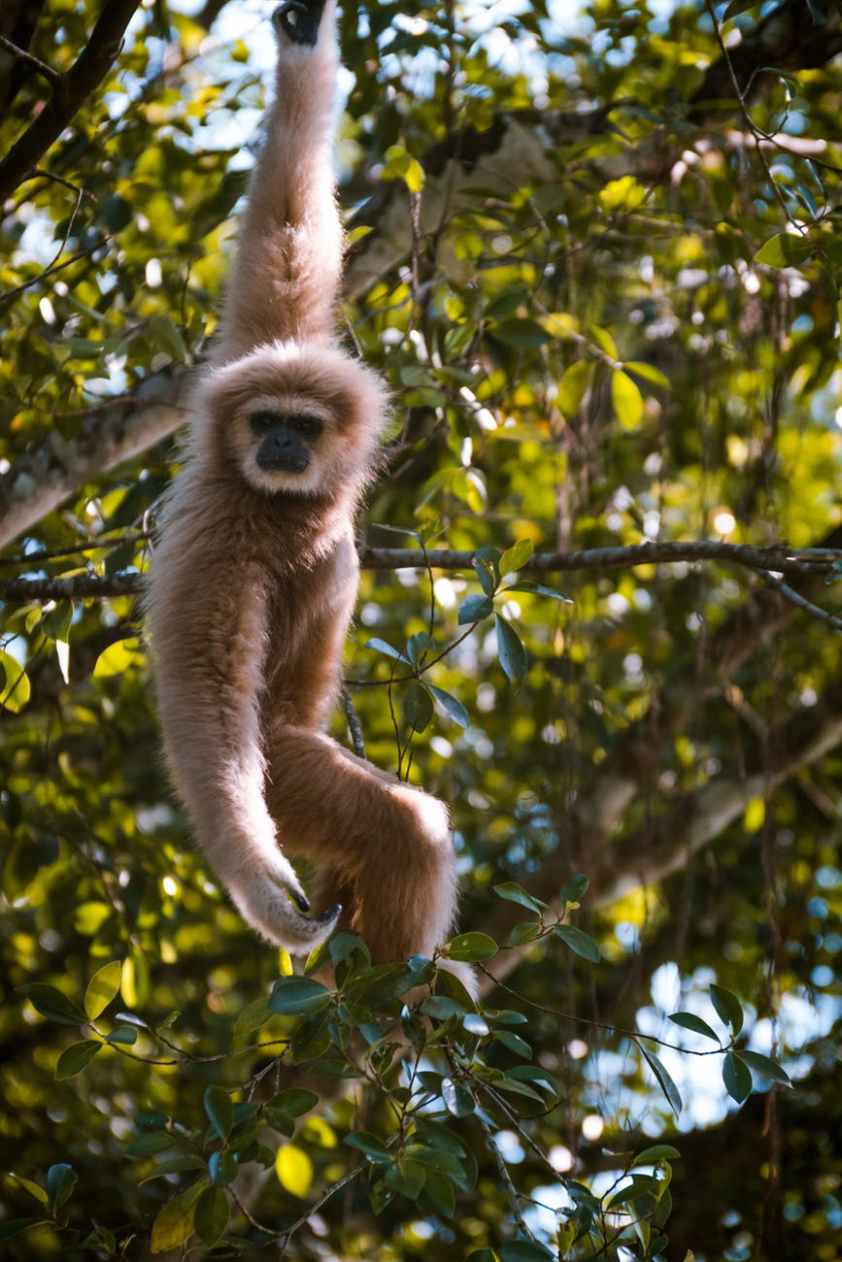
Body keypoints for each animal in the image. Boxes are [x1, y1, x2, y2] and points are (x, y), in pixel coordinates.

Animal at [145, 0, 469, 982]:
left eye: (304, 424)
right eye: (263, 424)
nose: (281, 442)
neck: (284, 506)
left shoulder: (264, 343)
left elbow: (284, 241)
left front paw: (303, 49)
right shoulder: (220, 538)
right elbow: (204, 699)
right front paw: (262, 888)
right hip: (285, 774)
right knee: (407, 829)